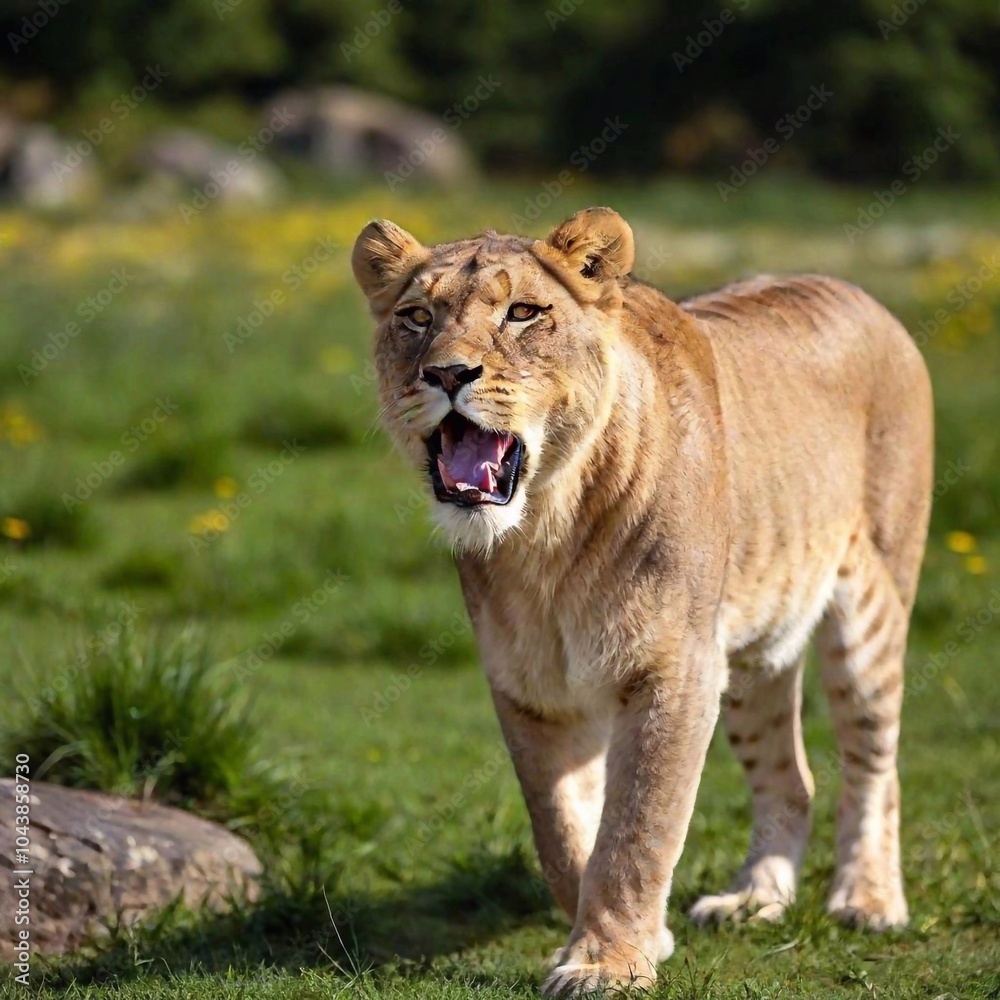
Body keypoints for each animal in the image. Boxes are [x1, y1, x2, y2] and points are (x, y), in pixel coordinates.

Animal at [351, 207, 933, 996]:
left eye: (522, 312)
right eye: (416, 317)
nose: (445, 372)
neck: (546, 532)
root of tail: (856, 291)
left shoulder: (673, 671)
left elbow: (637, 827)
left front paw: (606, 963)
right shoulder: (531, 690)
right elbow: (563, 831)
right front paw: (635, 939)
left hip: (868, 610)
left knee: (874, 764)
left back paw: (869, 901)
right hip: (749, 653)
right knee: (792, 779)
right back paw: (754, 900)